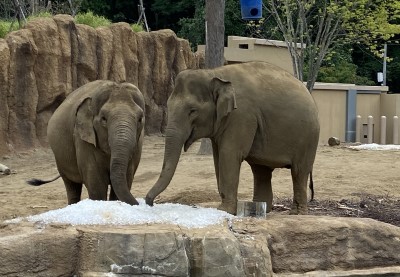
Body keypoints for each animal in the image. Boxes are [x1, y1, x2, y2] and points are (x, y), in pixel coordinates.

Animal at [145, 61, 320, 215]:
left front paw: (225, 210)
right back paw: (260, 208)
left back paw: (296, 213)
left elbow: (229, 154)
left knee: (299, 171)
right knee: (261, 171)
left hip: (309, 139)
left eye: (192, 110)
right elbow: (218, 157)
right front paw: (226, 208)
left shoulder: (242, 115)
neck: (214, 73)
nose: (149, 202)